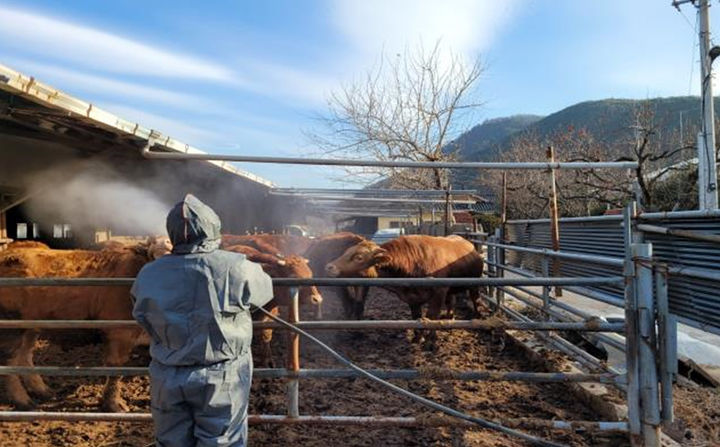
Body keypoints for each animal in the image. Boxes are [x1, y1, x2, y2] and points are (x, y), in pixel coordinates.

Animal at [0, 238, 169, 412]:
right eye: (154, 259)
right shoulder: (120, 332)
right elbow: (115, 368)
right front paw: (113, 404)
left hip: (30, 328)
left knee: (25, 356)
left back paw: (42, 390)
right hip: (11, 328)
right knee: (9, 364)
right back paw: (22, 400)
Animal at [324, 236, 484, 344]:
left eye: (359, 257)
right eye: (346, 251)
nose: (329, 267)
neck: (414, 262)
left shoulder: (439, 293)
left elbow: (432, 316)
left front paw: (430, 341)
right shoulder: (412, 298)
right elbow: (416, 317)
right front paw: (418, 338)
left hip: (474, 284)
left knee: (475, 300)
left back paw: (478, 318)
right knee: (451, 301)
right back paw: (450, 318)